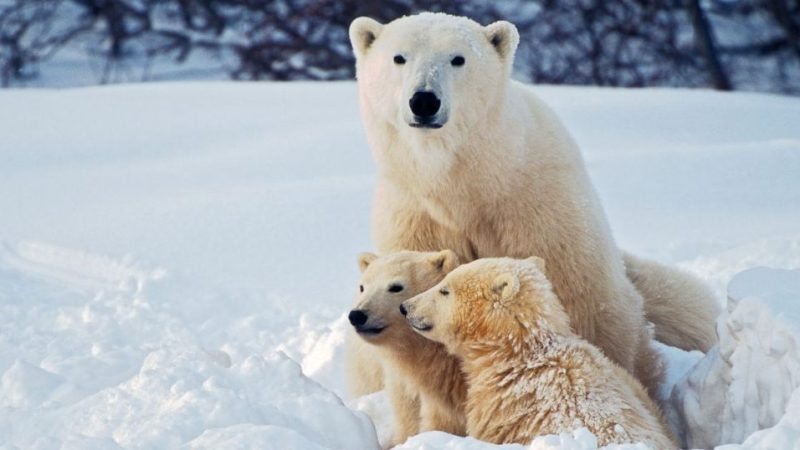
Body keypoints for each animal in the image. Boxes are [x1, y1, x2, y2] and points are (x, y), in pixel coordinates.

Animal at [346, 10, 720, 398]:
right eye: (399, 57)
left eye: (458, 59)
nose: (424, 101)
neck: (465, 183)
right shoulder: (415, 217)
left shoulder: (536, 206)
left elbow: (583, 300)